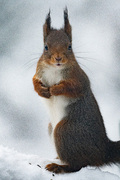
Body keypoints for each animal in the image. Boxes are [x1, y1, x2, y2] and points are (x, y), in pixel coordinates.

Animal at [32, 8, 120, 174]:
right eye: (45, 47)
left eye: (69, 46)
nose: (58, 58)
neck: (55, 70)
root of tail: (103, 152)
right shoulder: (38, 73)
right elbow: (34, 82)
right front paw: (42, 91)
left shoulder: (79, 79)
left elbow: (72, 87)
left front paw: (55, 89)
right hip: (52, 128)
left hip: (64, 132)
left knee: (78, 165)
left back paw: (59, 167)